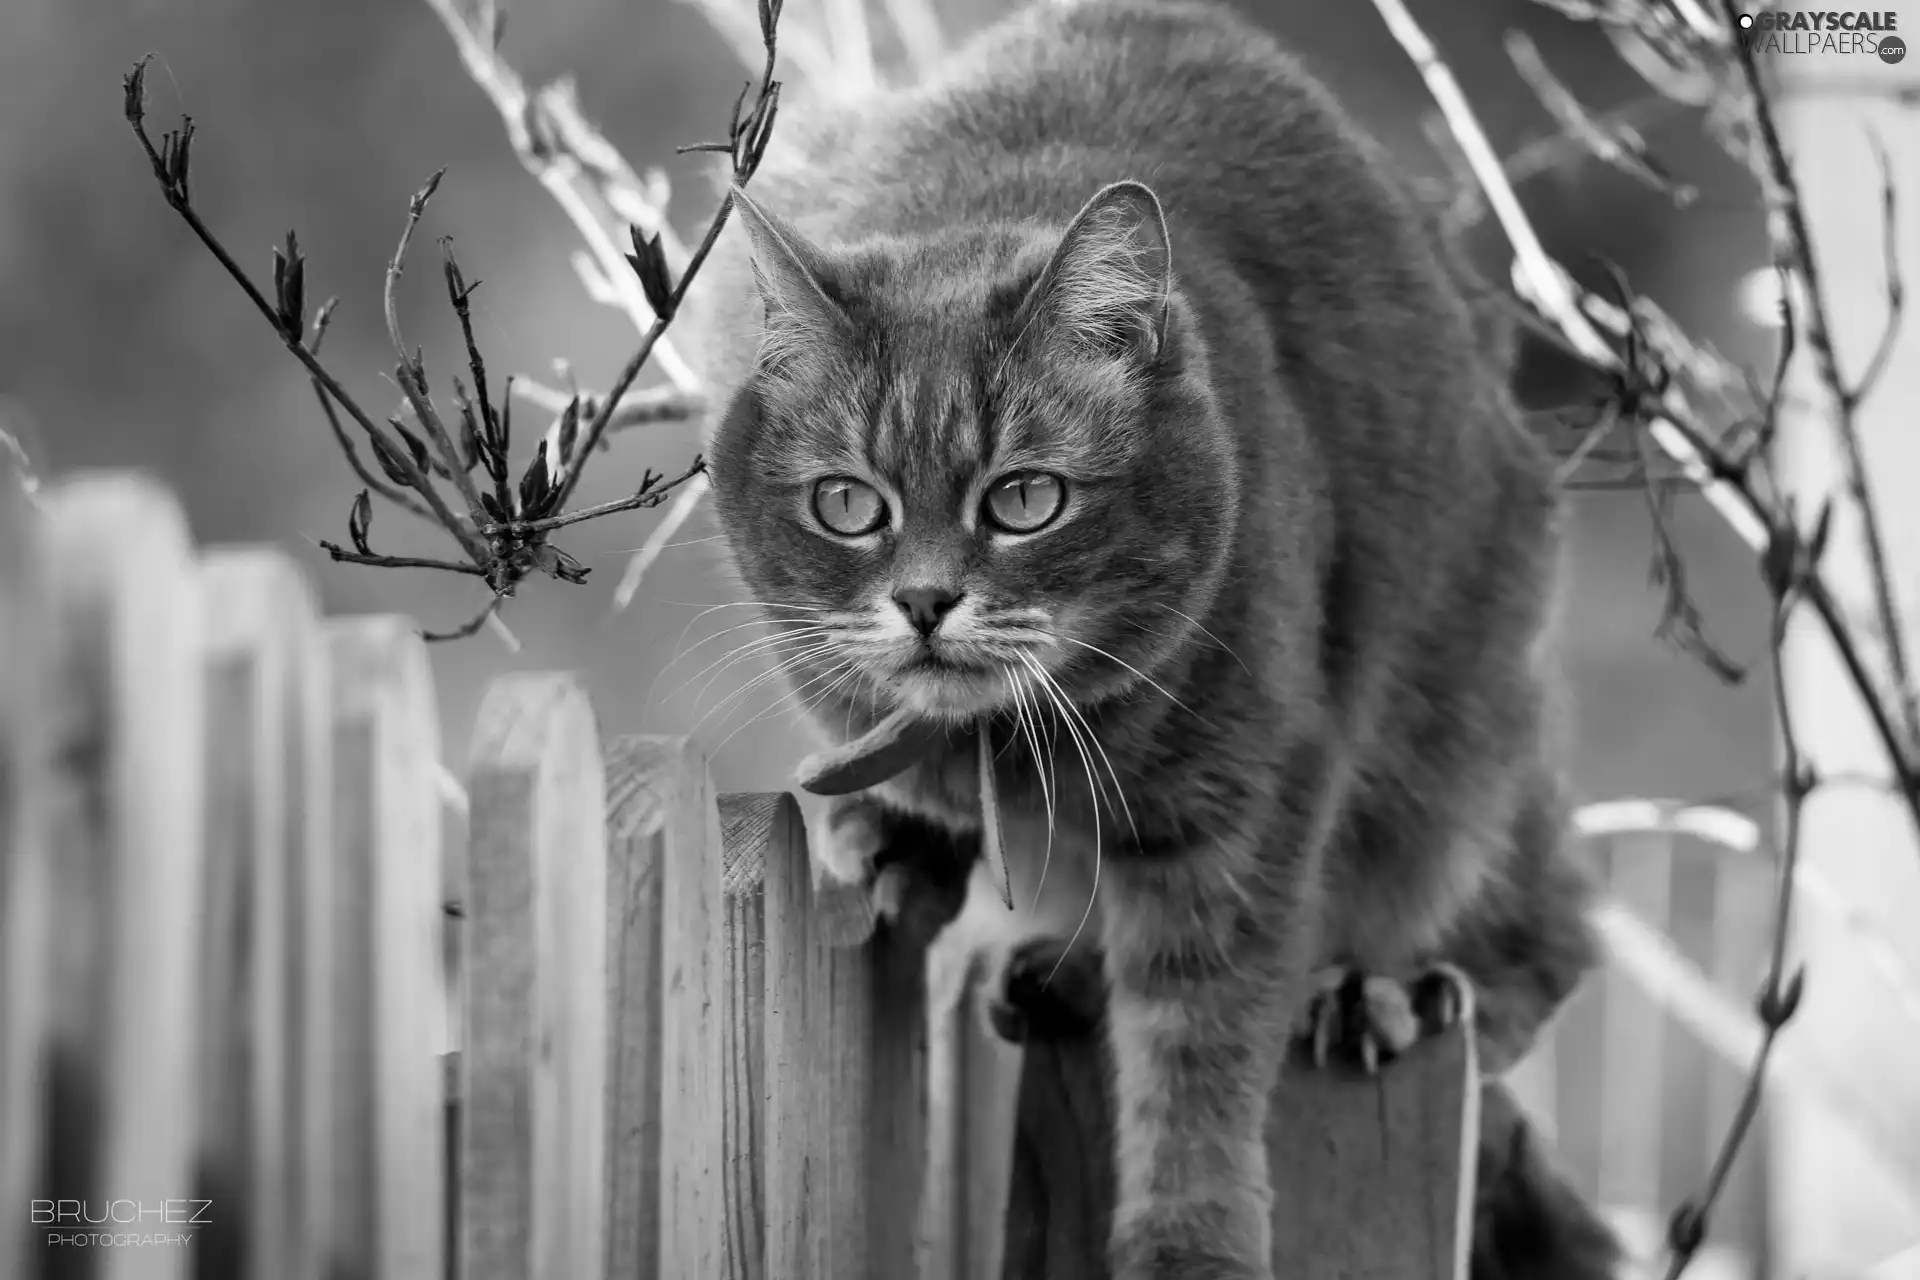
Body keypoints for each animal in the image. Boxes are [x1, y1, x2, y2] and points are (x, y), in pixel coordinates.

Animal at [691, 5, 1620, 1274]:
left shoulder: (1243, 804)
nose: (924, 600)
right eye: (847, 504)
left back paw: (1381, 990)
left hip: (1461, 722)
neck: (1009, 751)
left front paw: (1192, 1234)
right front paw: (880, 835)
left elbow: (1198, 1039)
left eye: (1025, 498)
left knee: (1539, 932)